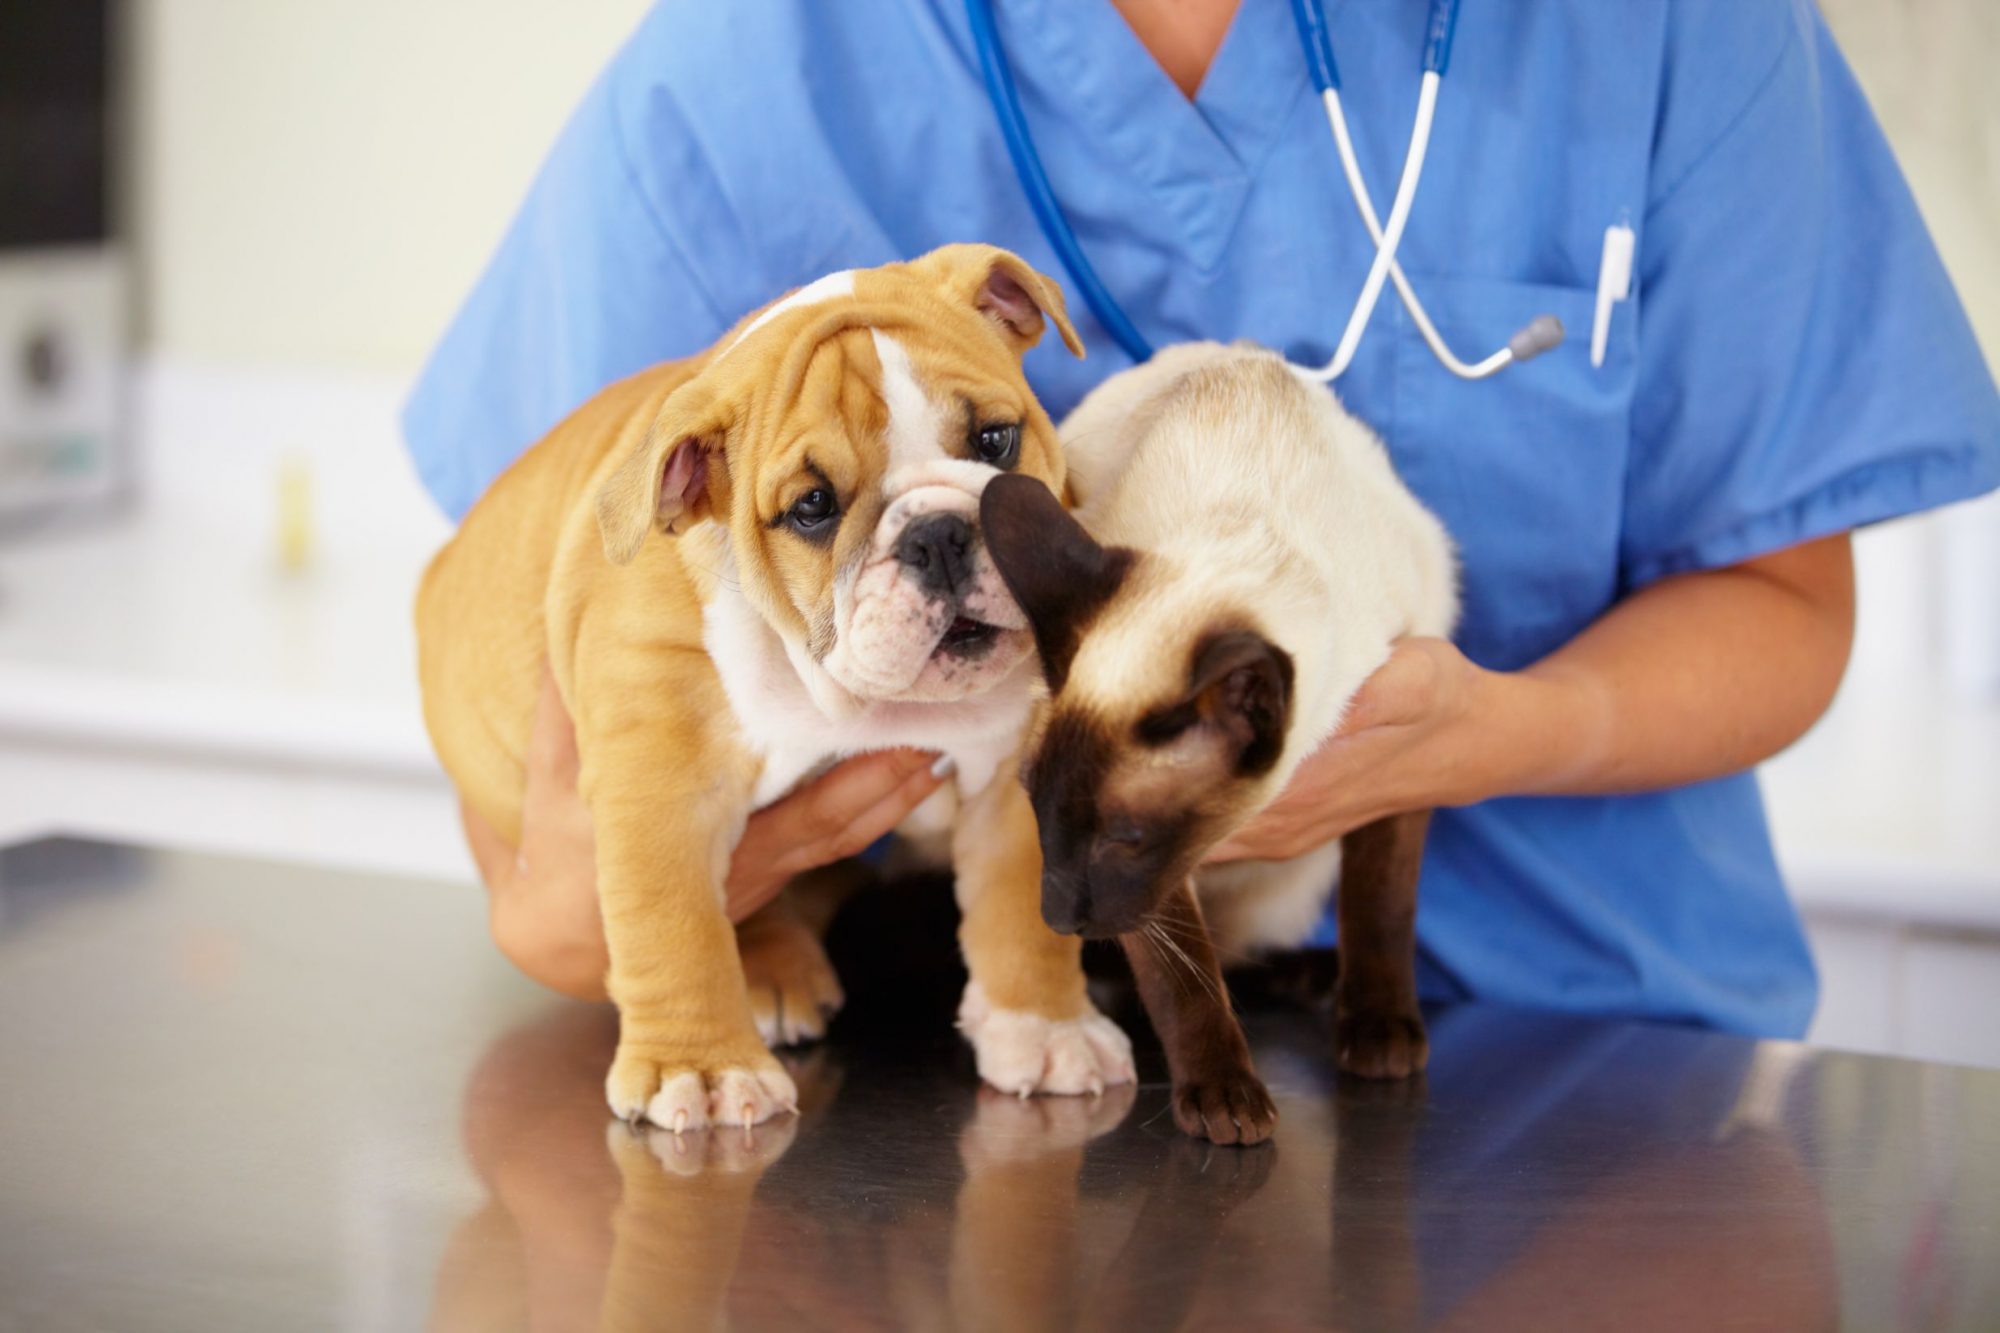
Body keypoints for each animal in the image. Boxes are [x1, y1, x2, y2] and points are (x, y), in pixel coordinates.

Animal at [414, 246, 1136, 1128]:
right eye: (812, 507)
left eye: (996, 439)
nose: (938, 535)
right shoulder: (662, 786)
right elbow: (674, 923)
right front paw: (699, 1068)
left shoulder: (1009, 778)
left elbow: (1022, 912)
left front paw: (1046, 1027)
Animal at [980, 342, 1456, 1144]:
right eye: (1039, 813)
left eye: (1123, 836)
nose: (1060, 919)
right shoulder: (1156, 884)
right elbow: (1183, 977)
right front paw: (1225, 1099)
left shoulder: (1403, 750)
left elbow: (1382, 906)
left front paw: (1381, 1033)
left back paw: (1311, 978)